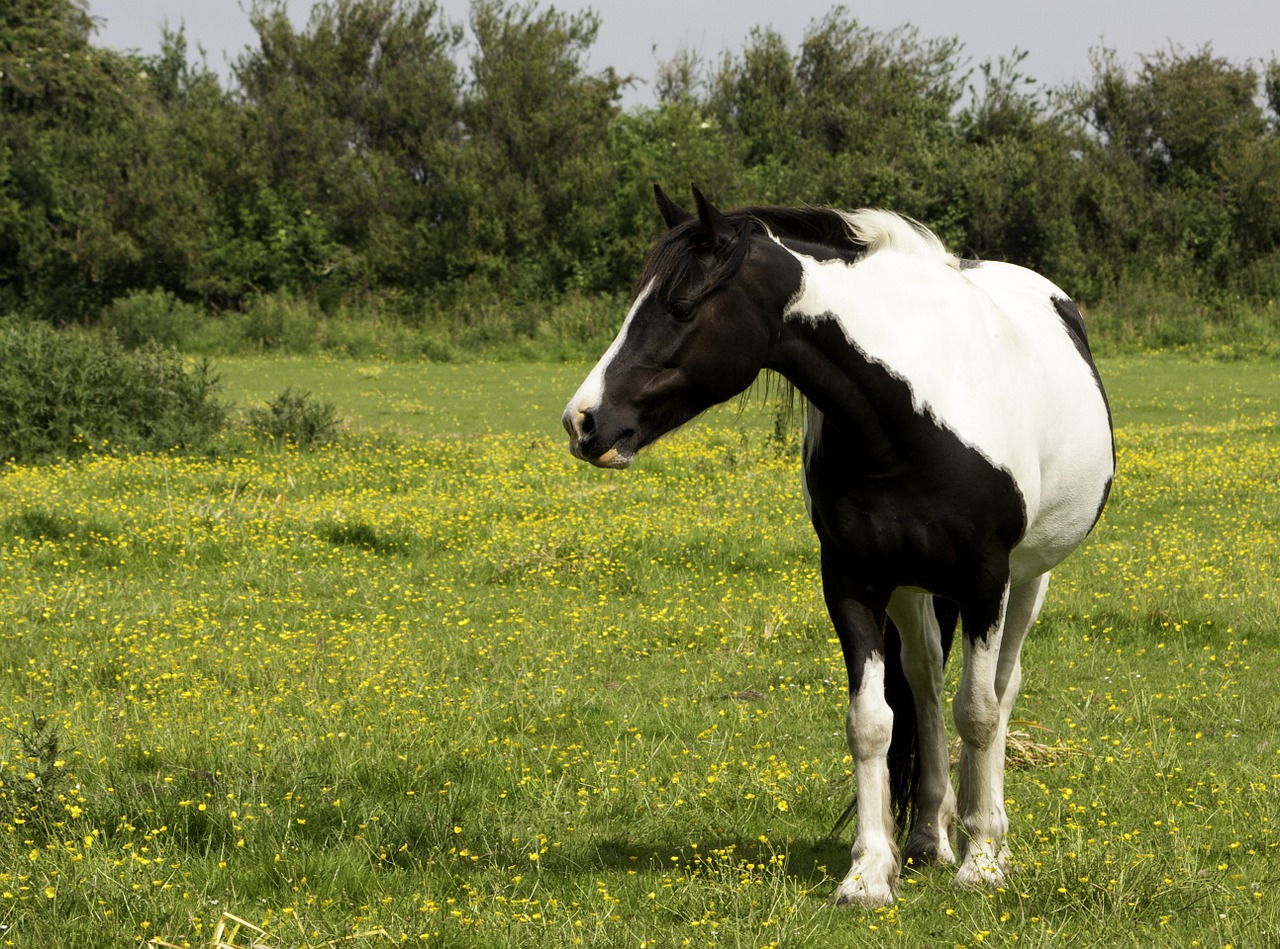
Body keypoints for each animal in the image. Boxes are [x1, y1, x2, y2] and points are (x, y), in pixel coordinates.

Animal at [560, 183, 1111, 901]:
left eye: (681, 305)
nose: (584, 422)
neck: (914, 411)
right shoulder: (852, 580)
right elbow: (873, 721)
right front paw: (870, 871)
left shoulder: (985, 578)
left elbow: (980, 713)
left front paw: (984, 860)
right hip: (910, 587)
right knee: (927, 683)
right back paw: (931, 835)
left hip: (1028, 579)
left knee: (1000, 687)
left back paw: (984, 836)